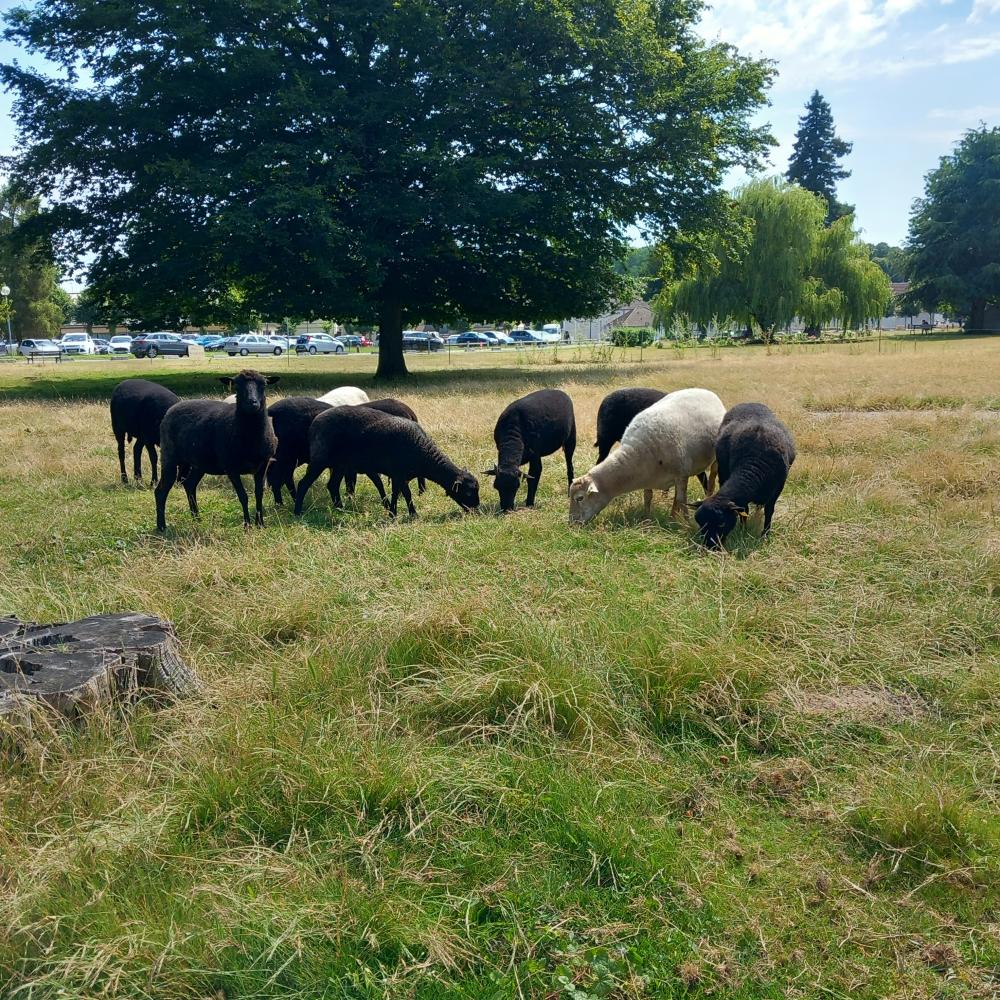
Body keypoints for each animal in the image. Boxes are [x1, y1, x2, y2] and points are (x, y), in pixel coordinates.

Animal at [156, 372, 282, 536]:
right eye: (237, 386)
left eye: (264, 385)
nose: (252, 403)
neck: (250, 438)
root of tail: (172, 408)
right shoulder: (231, 467)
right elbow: (243, 496)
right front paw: (247, 526)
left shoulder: (263, 465)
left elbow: (258, 493)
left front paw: (260, 524)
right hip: (169, 456)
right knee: (161, 491)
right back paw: (161, 526)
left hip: (199, 462)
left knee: (189, 484)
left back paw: (197, 519)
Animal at [292, 404, 480, 520]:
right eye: (468, 492)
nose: (476, 509)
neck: (423, 454)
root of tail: (315, 422)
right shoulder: (399, 473)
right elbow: (407, 494)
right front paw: (413, 514)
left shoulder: (398, 476)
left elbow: (396, 493)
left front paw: (393, 513)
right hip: (320, 459)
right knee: (303, 483)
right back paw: (297, 512)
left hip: (340, 464)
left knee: (332, 485)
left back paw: (340, 508)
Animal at [568, 386, 724, 528]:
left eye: (580, 498)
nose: (572, 523)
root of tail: (706, 391)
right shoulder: (650, 475)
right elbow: (648, 498)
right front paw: (646, 520)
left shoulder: (681, 474)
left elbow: (682, 500)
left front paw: (687, 524)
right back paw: (671, 517)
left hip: (712, 460)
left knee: (711, 479)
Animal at [696, 402, 796, 552]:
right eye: (701, 524)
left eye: (721, 523)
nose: (710, 547)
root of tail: (750, 403)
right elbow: (744, 510)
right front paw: (743, 530)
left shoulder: (777, 489)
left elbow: (769, 511)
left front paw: (765, 535)